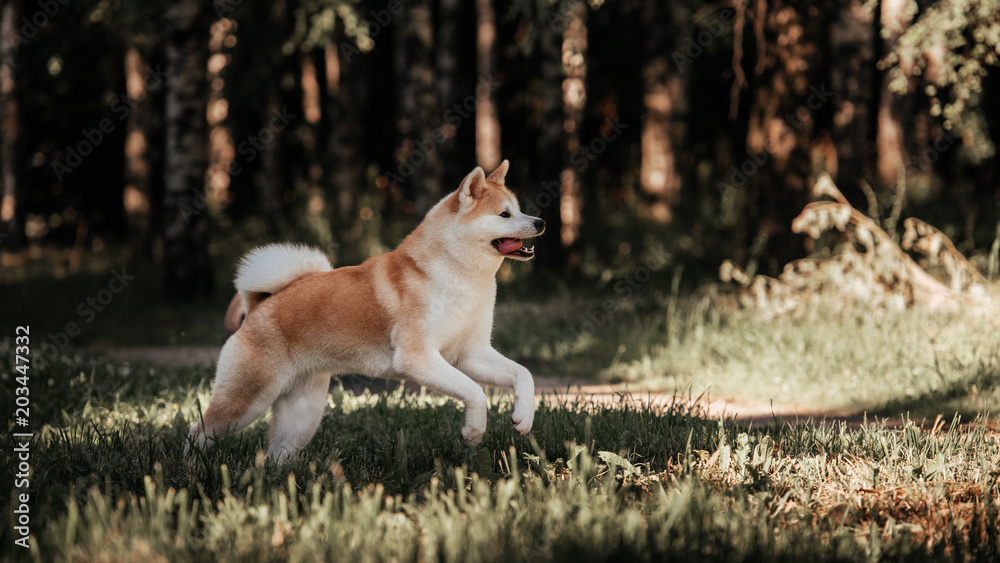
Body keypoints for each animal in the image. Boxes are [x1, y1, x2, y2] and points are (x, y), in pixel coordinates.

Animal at [188, 161, 548, 460]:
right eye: (504, 215)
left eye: (518, 210)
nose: (541, 221)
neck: (459, 274)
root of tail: (259, 304)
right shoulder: (418, 357)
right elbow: (475, 392)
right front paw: (474, 431)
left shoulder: (470, 354)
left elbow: (524, 375)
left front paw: (524, 416)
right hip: (247, 400)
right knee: (197, 433)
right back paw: (193, 472)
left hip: (300, 415)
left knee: (277, 452)